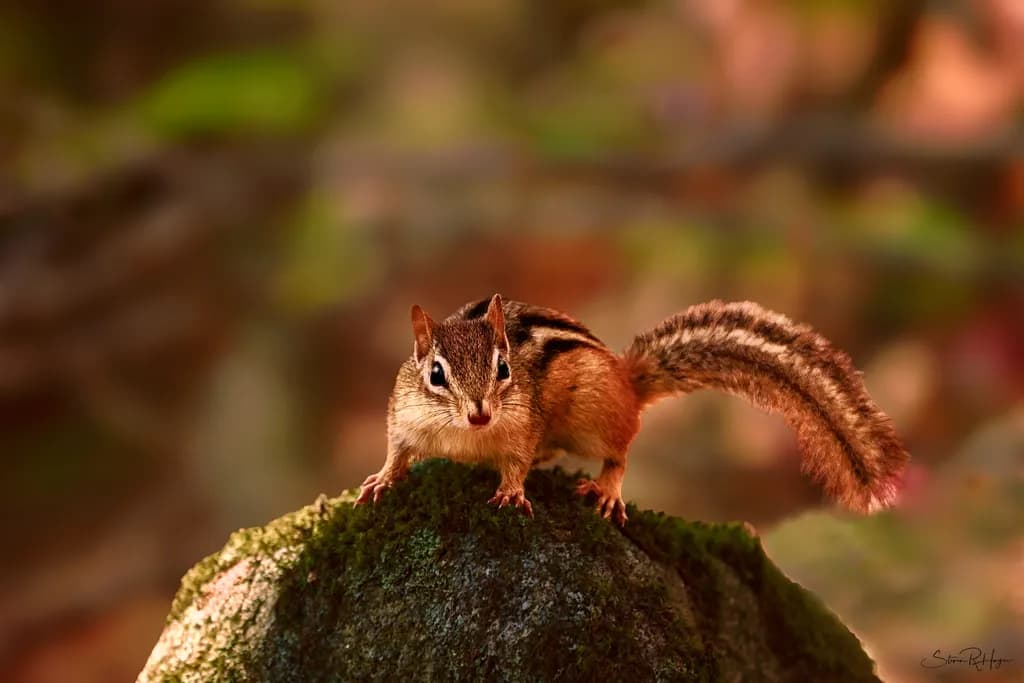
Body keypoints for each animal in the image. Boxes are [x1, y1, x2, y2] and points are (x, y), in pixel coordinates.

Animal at [354, 294, 909, 525]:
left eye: (504, 368)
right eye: (436, 375)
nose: (480, 414)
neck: (466, 437)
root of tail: (626, 376)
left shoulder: (521, 427)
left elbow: (515, 461)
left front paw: (511, 492)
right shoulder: (403, 418)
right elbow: (396, 451)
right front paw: (380, 480)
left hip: (594, 417)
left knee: (618, 454)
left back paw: (605, 490)